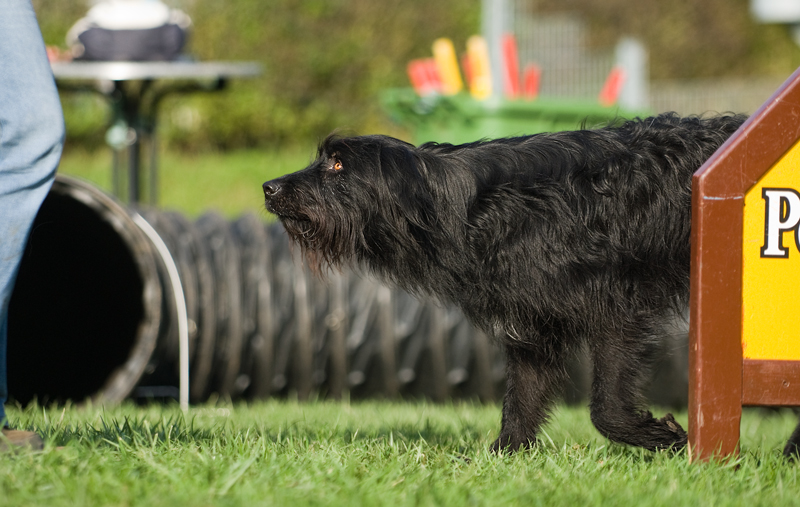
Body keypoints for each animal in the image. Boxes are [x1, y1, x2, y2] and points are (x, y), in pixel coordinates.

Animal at [262, 113, 768, 454]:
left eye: (338, 166)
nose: (269, 187)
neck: (464, 209)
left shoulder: (617, 313)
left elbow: (605, 408)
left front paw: (662, 437)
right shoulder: (533, 331)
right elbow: (521, 403)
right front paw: (501, 460)